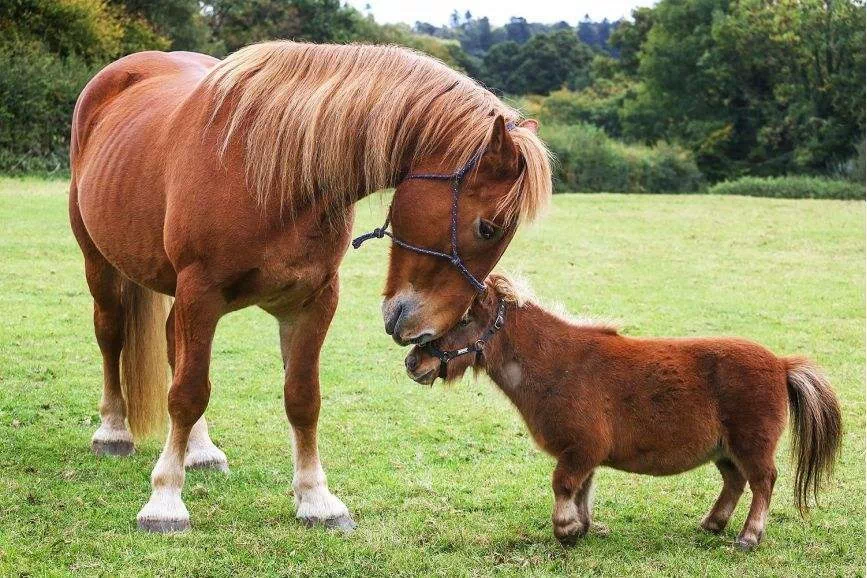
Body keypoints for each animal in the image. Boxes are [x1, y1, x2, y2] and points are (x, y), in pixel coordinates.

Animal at [71, 42, 552, 532]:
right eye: (487, 229)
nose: (426, 330)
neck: (268, 171)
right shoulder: (199, 293)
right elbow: (187, 393)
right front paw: (165, 500)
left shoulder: (312, 303)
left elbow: (302, 399)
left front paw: (316, 499)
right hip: (102, 266)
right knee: (111, 336)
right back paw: (113, 431)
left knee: (173, 345)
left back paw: (200, 451)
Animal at [406, 274, 840, 548]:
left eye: (464, 318)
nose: (413, 362)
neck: (559, 365)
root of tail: (781, 364)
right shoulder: (583, 452)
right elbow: (582, 488)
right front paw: (581, 527)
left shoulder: (581, 449)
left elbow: (564, 484)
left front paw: (566, 530)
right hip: (725, 449)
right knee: (735, 482)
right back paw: (712, 524)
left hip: (751, 445)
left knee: (763, 482)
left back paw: (749, 536)